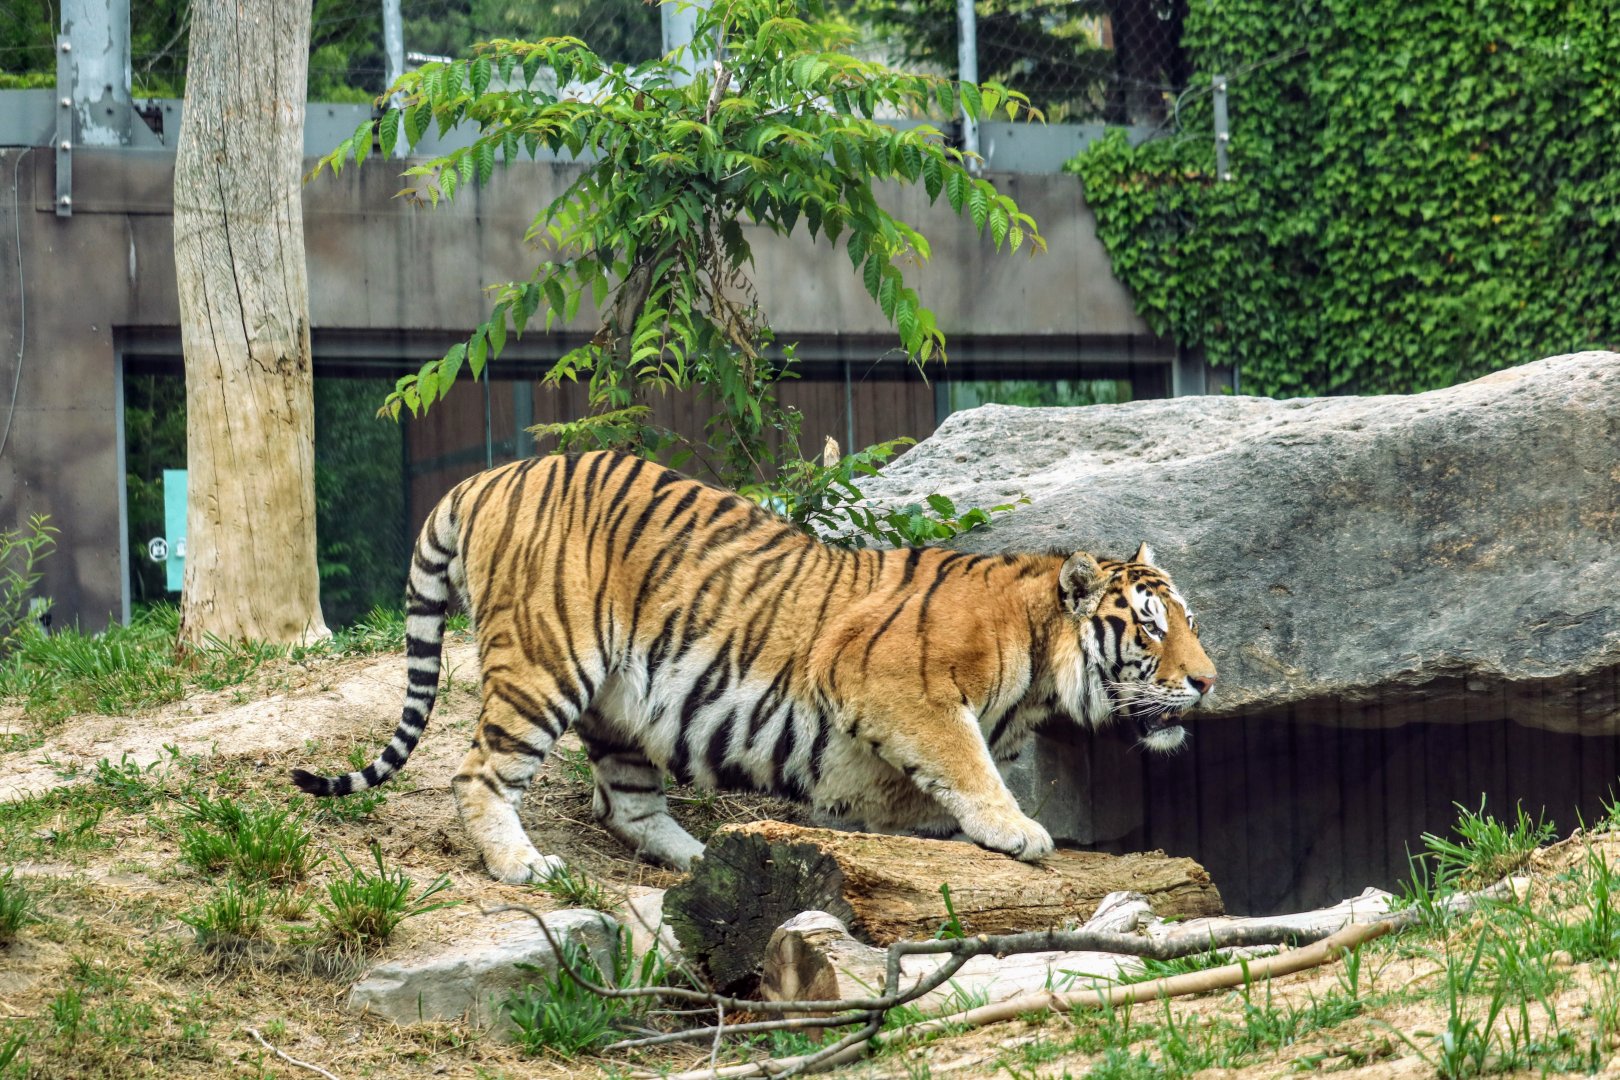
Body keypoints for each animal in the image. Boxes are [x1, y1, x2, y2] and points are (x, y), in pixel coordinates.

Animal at [292, 450, 1216, 884]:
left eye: (1190, 626)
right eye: (1148, 630)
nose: (1207, 681)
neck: (1035, 664)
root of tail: (488, 477)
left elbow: (908, 796)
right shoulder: (901, 691)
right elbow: (967, 764)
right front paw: (1017, 830)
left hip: (623, 707)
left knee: (625, 804)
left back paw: (703, 859)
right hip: (545, 667)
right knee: (479, 770)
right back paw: (522, 864)